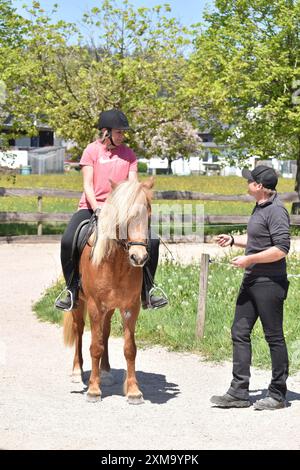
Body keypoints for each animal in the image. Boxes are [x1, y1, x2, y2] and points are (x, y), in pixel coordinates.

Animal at [63, 177, 152, 404]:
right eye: (124, 218)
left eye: (148, 215)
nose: (138, 257)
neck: (116, 263)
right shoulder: (95, 305)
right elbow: (95, 346)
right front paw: (94, 390)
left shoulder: (131, 307)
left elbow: (129, 349)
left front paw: (133, 391)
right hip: (80, 304)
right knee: (79, 331)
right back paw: (76, 371)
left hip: (109, 308)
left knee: (104, 331)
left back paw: (105, 372)